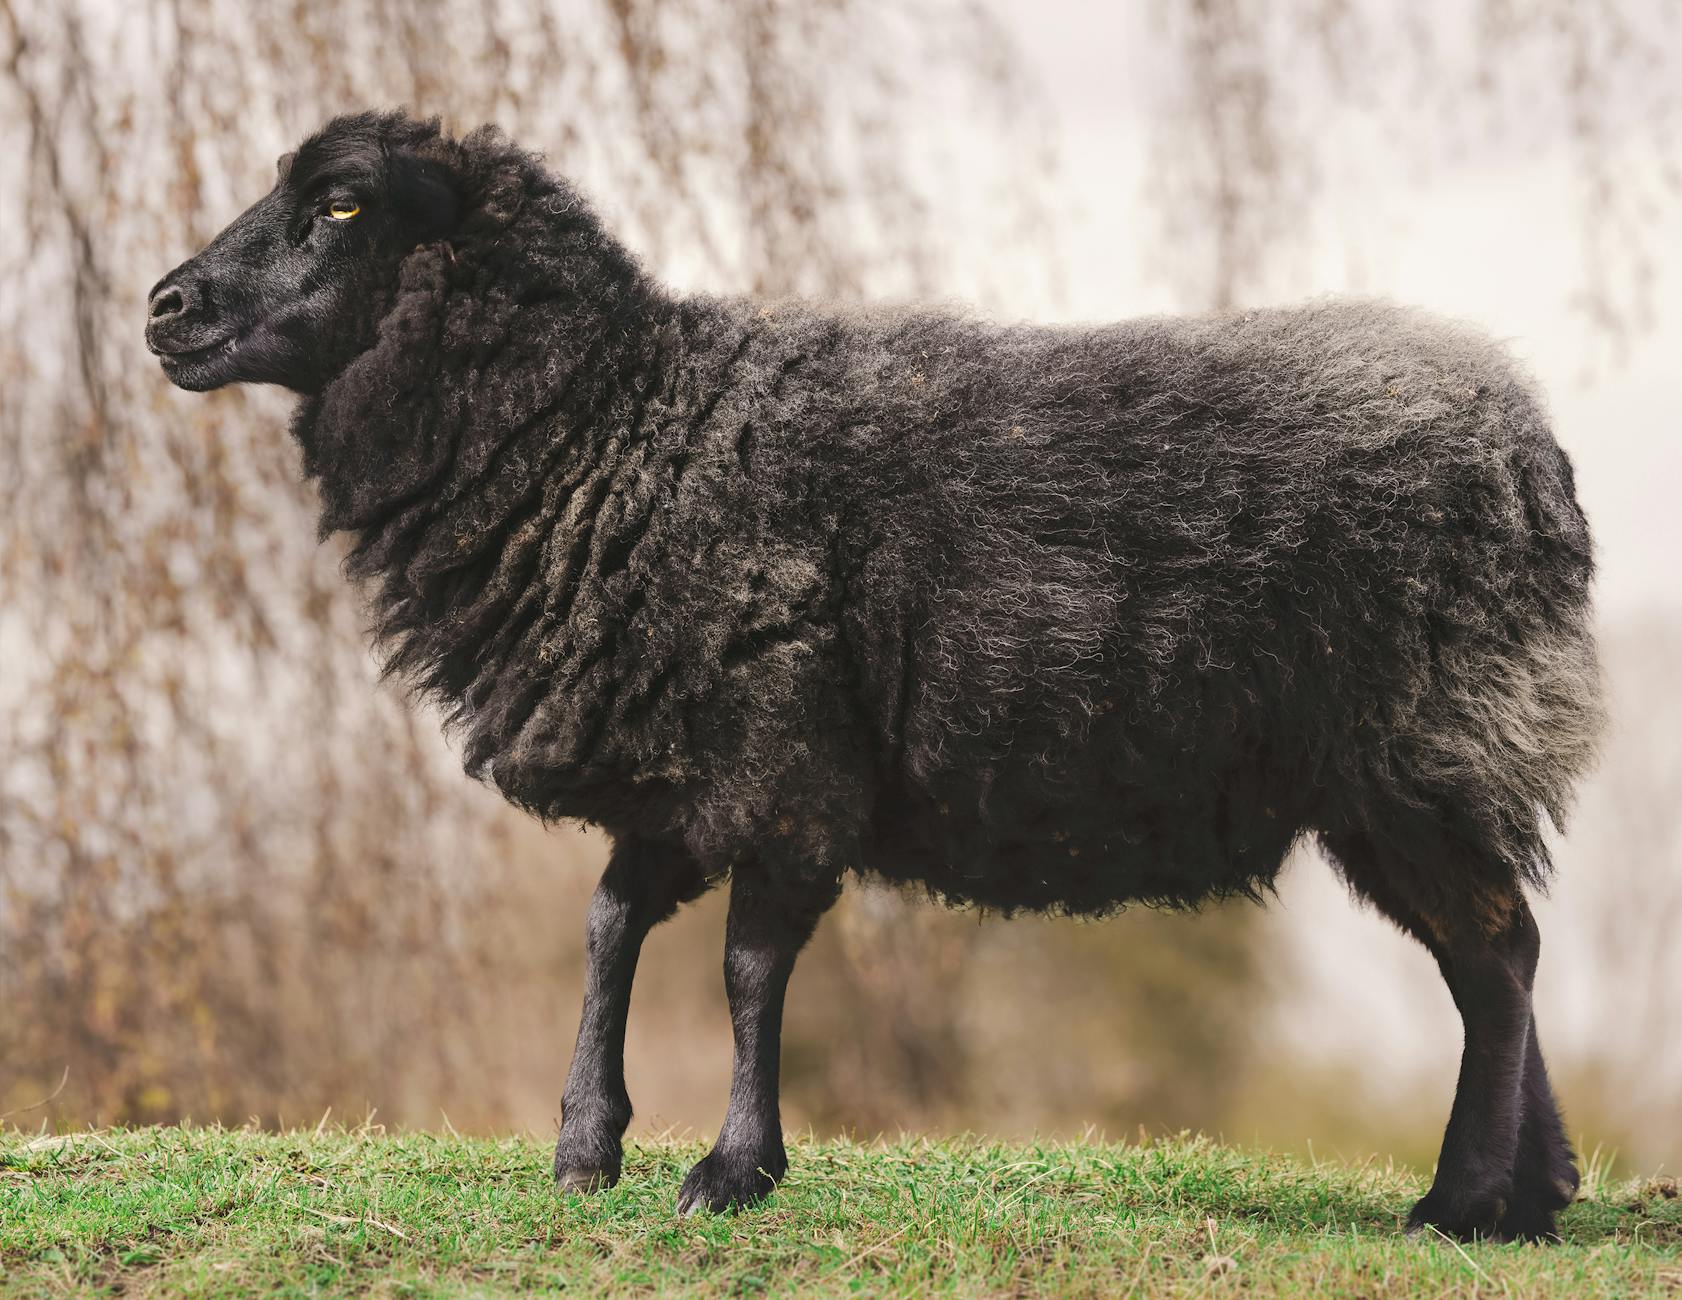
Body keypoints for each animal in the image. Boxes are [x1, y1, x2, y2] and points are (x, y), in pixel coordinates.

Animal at [145, 110, 1603, 1239]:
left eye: (338, 205)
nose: (164, 308)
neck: (616, 427)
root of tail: (1531, 449)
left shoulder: (784, 755)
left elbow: (745, 965)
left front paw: (731, 1169)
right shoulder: (681, 762)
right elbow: (609, 927)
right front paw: (584, 1144)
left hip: (1423, 752)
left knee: (1495, 960)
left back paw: (1460, 1203)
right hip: (1415, 776)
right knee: (1503, 954)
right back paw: (1531, 1195)